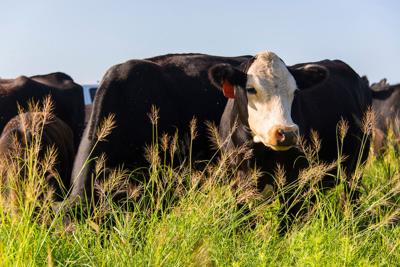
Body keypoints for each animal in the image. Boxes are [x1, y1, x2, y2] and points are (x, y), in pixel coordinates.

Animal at [208, 50, 374, 232]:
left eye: (294, 91)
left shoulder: (293, 181)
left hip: (356, 167)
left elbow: (286, 224)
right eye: (251, 89)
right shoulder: (237, 180)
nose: (286, 133)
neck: (257, 154)